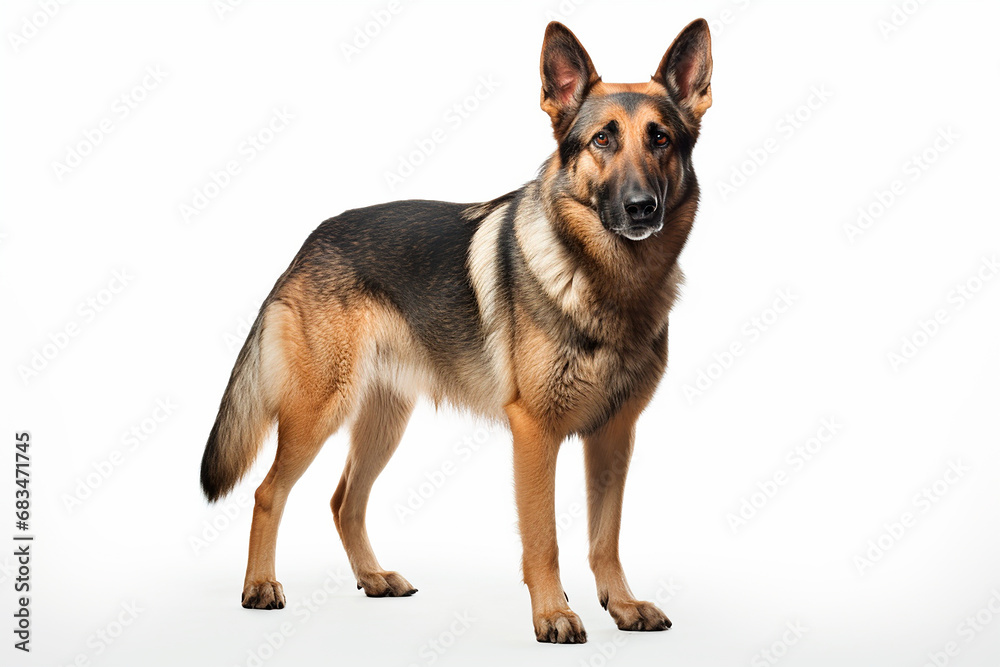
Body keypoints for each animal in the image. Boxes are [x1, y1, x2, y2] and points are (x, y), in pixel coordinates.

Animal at [201, 19, 712, 648]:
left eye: (660, 139)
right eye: (602, 141)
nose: (641, 209)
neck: (607, 281)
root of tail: (310, 241)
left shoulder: (614, 436)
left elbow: (605, 537)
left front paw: (621, 604)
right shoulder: (534, 433)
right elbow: (544, 538)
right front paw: (552, 613)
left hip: (384, 422)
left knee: (344, 501)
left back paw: (373, 577)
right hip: (318, 410)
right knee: (268, 492)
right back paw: (259, 587)